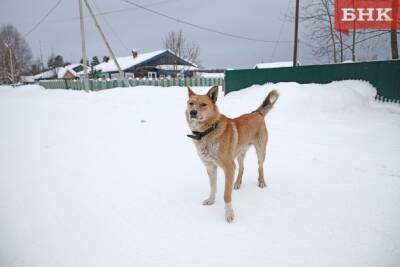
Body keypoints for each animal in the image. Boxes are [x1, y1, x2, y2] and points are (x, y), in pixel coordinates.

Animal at [185, 87, 276, 223]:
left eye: (203, 104)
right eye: (191, 103)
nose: (193, 112)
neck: (208, 132)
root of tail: (256, 113)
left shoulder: (229, 167)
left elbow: (226, 195)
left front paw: (229, 214)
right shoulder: (210, 167)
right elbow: (213, 187)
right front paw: (211, 200)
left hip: (260, 152)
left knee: (260, 166)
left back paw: (261, 182)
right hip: (239, 153)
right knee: (242, 167)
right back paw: (237, 183)